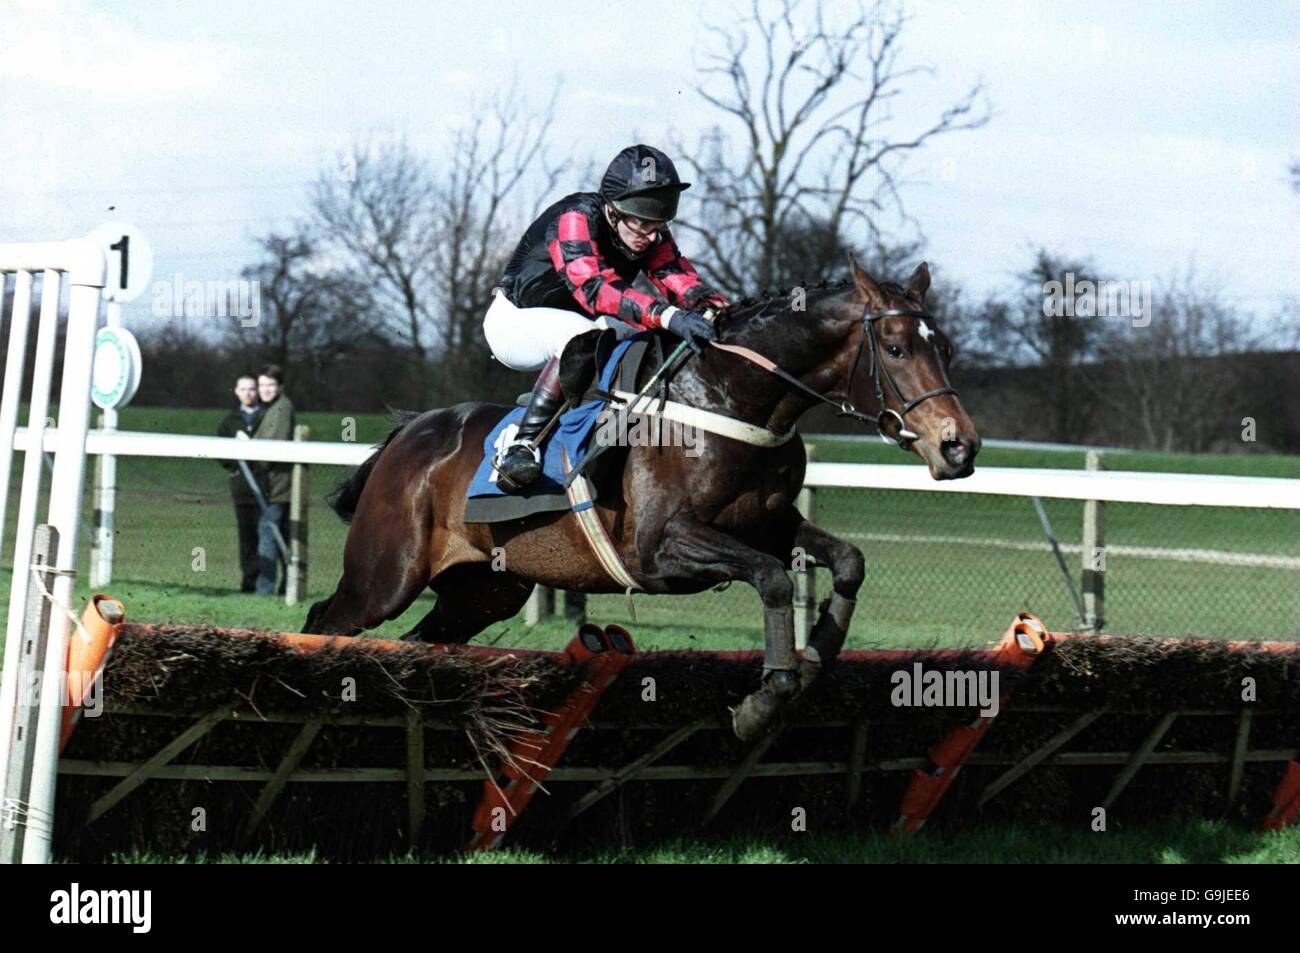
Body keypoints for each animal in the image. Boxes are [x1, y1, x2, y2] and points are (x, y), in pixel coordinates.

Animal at [301, 258, 977, 738]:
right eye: (896, 348)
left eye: (945, 349)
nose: (959, 447)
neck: (728, 399)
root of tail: (409, 433)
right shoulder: (660, 551)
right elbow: (773, 578)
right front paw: (764, 699)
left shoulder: (768, 523)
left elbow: (847, 561)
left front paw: (815, 657)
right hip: (386, 576)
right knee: (326, 621)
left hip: (483, 591)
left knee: (421, 642)